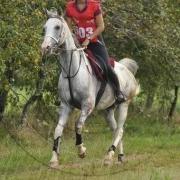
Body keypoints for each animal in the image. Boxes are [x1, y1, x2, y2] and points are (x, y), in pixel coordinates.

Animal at [41, 9, 140, 167]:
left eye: (57, 27)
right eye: (44, 28)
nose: (45, 48)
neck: (71, 71)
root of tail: (127, 69)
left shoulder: (87, 106)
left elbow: (78, 125)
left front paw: (81, 151)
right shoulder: (66, 106)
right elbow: (58, 129)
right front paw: (54, 159)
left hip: (124, 105)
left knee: (119, 131)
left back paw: (109, 156)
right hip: (108, 110)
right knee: (116, 130)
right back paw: (119, 156)